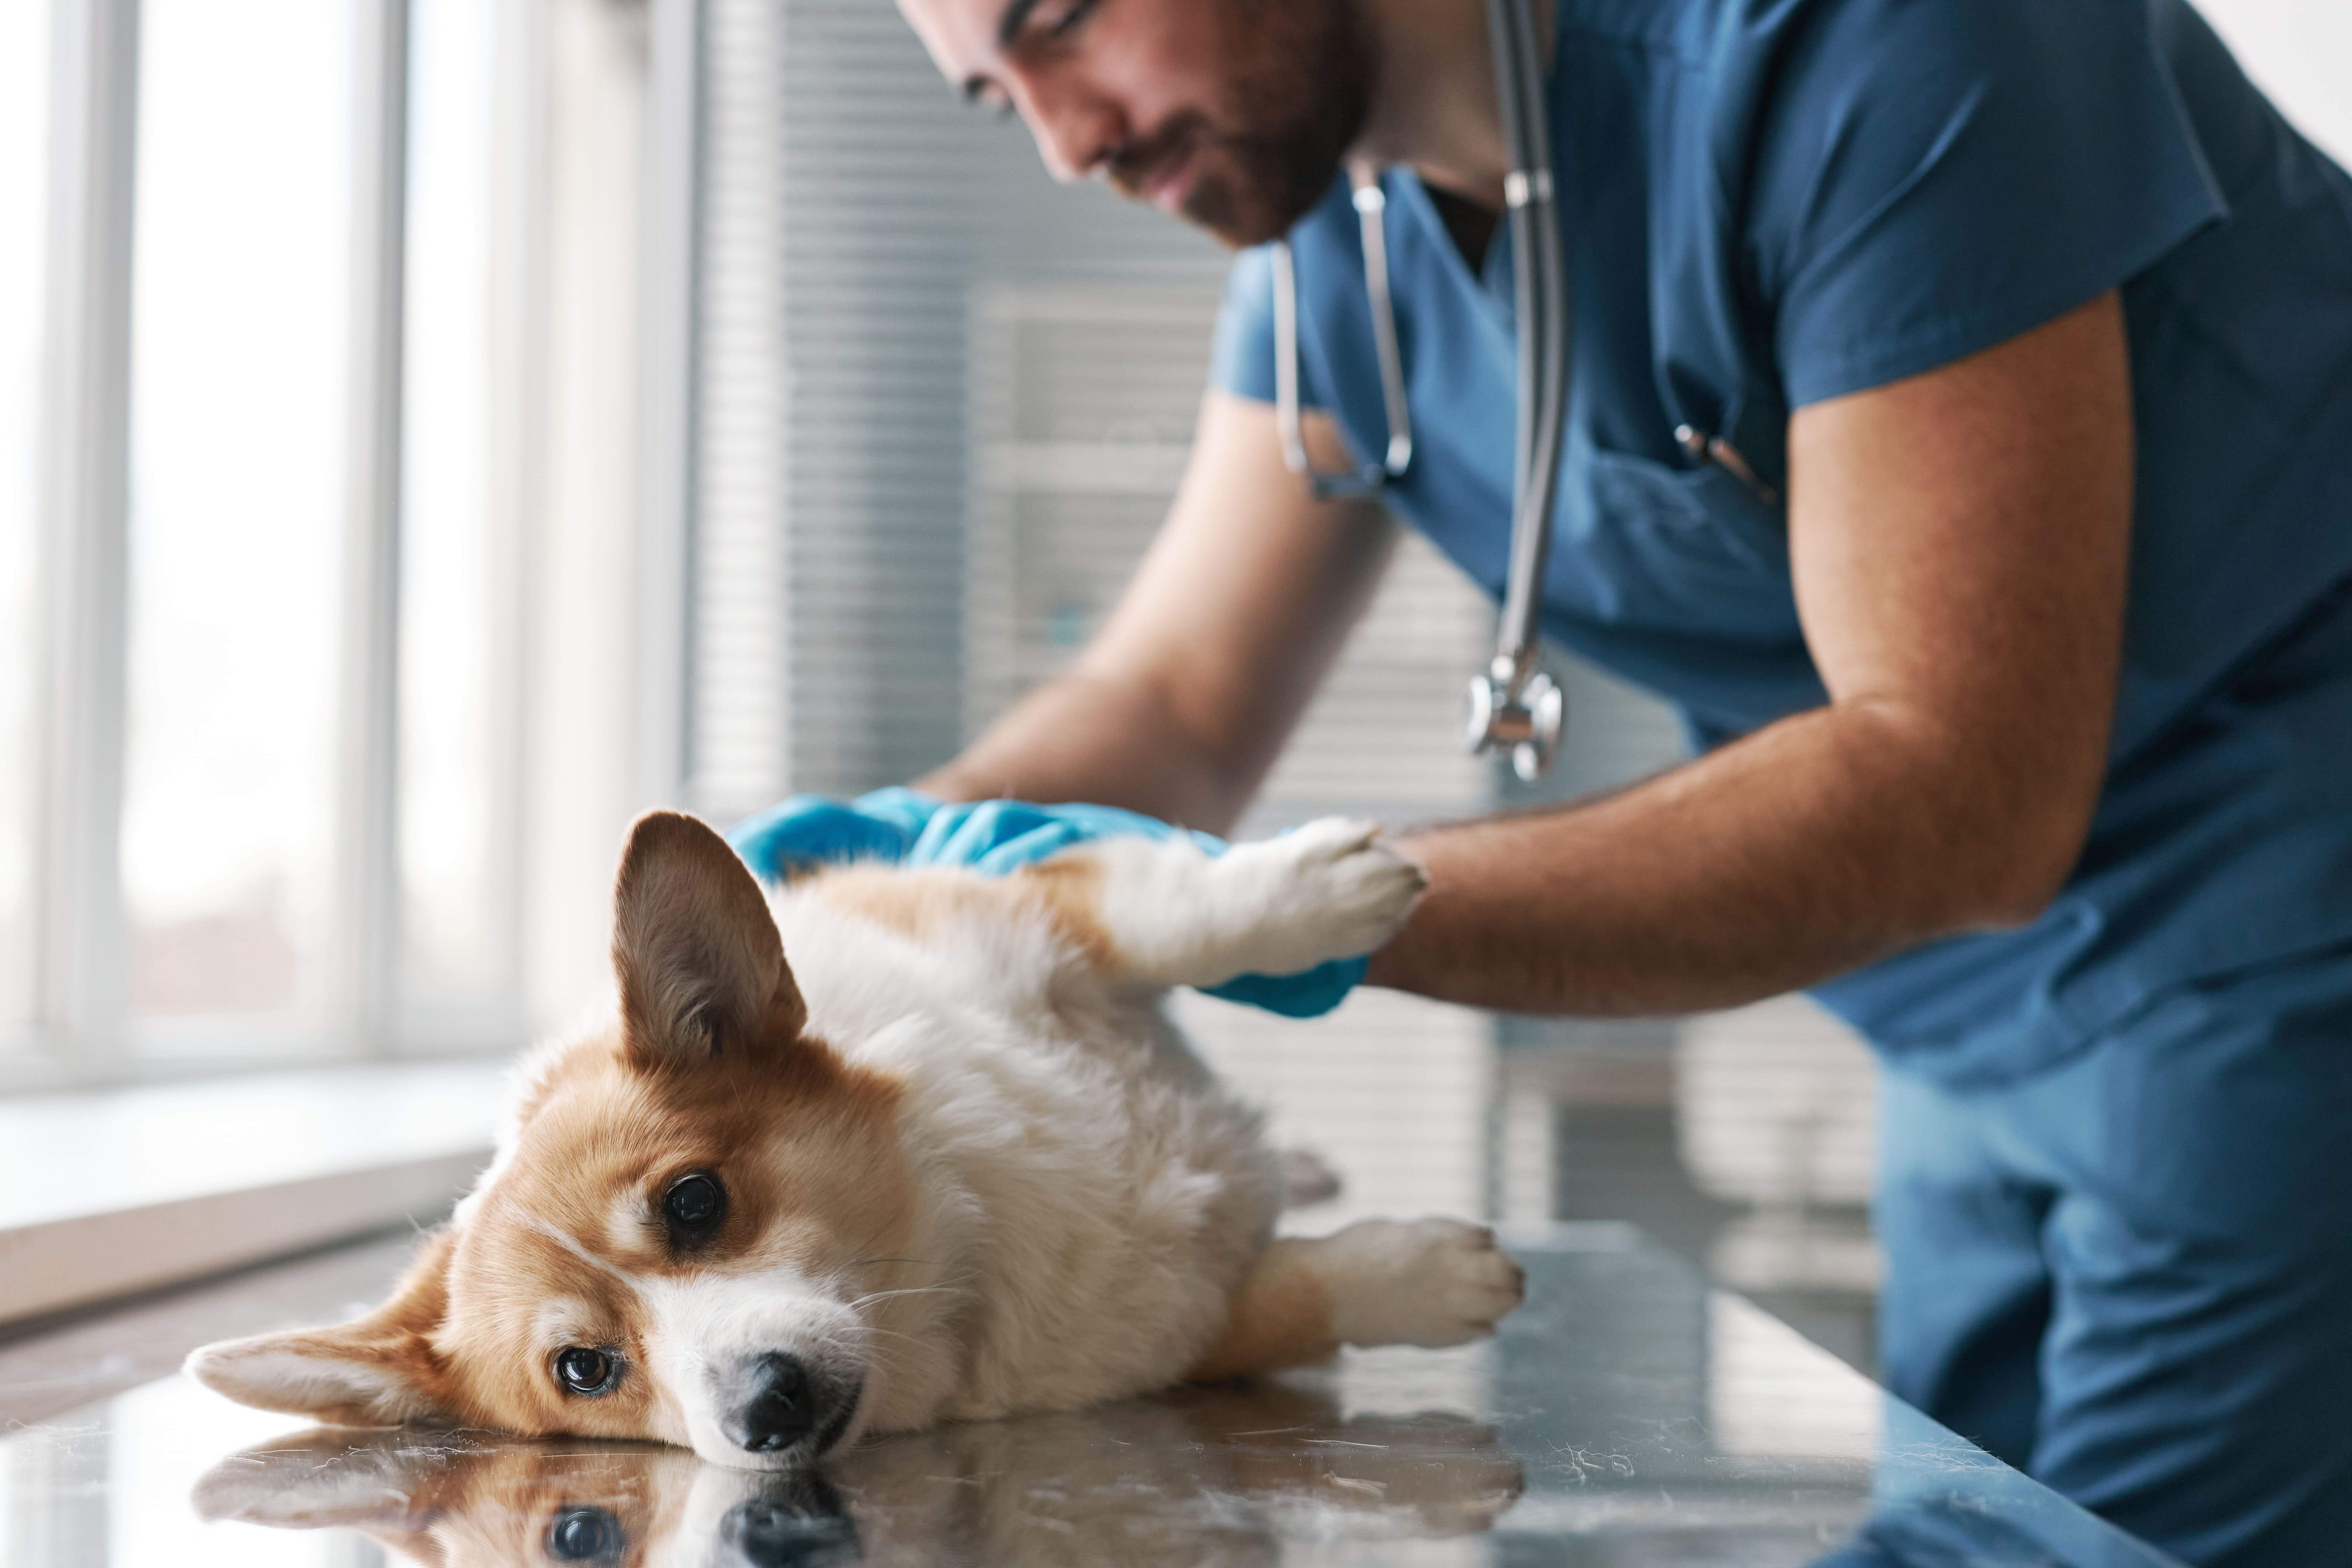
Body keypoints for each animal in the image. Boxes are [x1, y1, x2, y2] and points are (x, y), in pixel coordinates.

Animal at [183, 808, 1524, 1476]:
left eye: (692, 1202)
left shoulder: (1009, 902)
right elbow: (1295, 1295)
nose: (763, 1411)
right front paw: (1439, 1276)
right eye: (584, 1370)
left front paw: (1321, 891)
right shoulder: (1184, 1330)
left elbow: (1168, 912)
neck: (959, 1249)